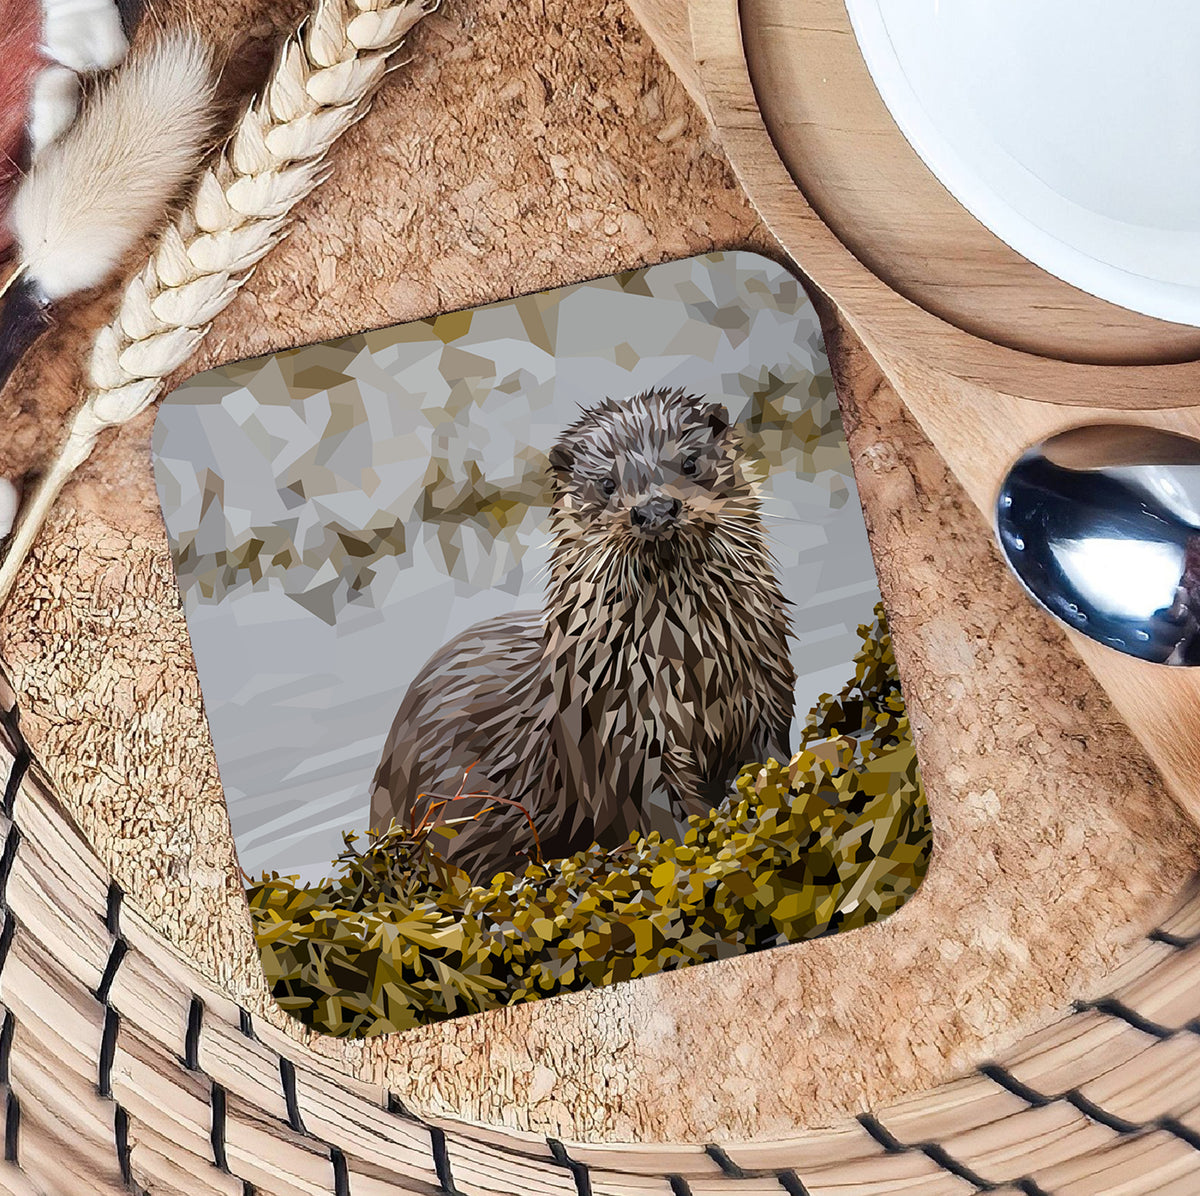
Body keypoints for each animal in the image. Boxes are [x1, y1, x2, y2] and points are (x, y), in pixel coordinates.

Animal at [369, 388, 796, 880]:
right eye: (607, 484)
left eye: (690, 462)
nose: (653, 509)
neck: (692, 666)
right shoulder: (623, 740)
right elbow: (661, 815)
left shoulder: (766, 694)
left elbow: (771, 756)